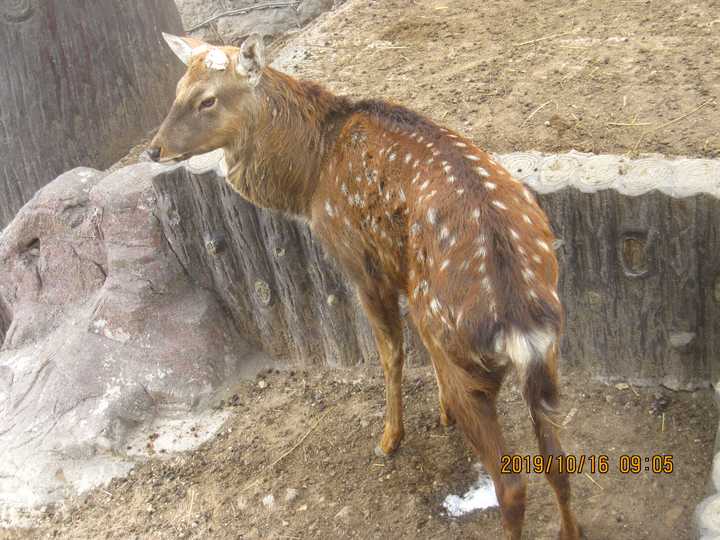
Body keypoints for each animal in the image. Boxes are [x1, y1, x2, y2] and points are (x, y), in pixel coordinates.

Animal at [149, 33, 584, 540]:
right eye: (177, 89)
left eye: (208, 99)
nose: (154, 150)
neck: (311, 177)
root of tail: (519, 319)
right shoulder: (406, 274)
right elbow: (418, 345)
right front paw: (441, 413)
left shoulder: (362, 262)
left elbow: (391, 353)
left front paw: (389, 438)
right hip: (544, 354)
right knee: (559, 464)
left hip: (468, 358)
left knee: (511, 483)